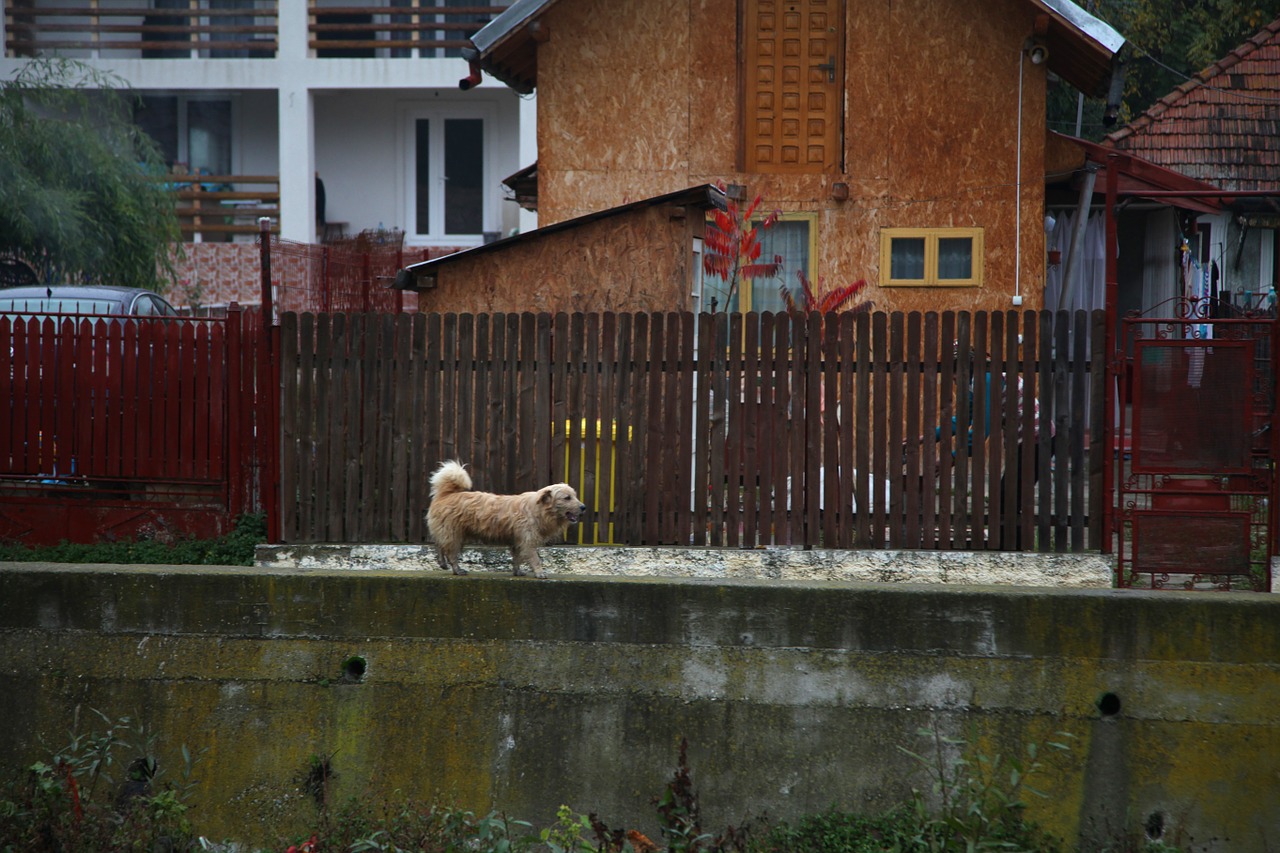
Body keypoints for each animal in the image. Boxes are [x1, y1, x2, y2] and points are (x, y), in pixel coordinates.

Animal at [430, 458, 588, 578]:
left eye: (574, 495)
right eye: (567, 498)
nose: (583, 507)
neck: (538, 510)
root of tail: (446, 494)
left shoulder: (517, 541)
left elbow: (517, 558)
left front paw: (517, 572)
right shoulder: (528, 540)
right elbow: (535, 558)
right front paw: (539, 572)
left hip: (454, 533)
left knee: (439, 544)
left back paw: (442, 563)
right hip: (454, 533)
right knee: (450, 552)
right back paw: (456, 569)